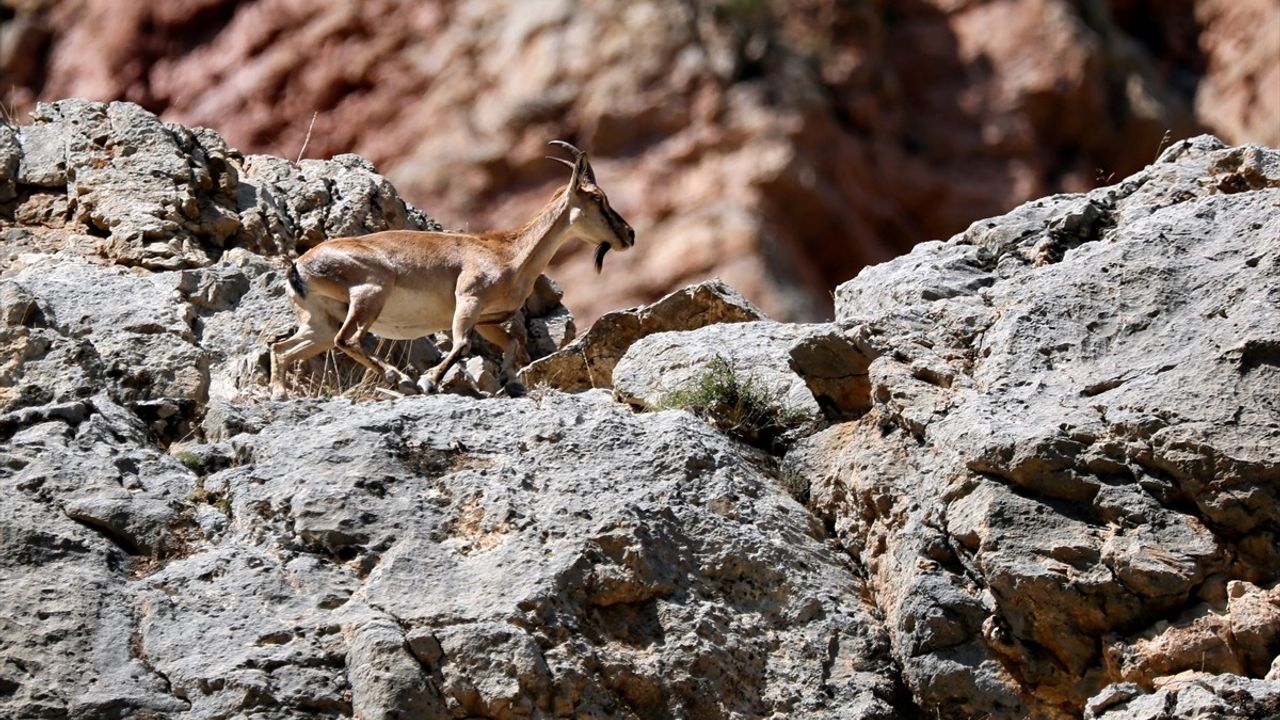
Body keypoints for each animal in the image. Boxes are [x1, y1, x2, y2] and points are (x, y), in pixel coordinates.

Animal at [270, 140, 634, 394]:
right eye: (598, 198)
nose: (629, 234)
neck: (511, 255)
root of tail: (299, 267)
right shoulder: (468, 300)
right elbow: (461, 344)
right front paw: (429, 381)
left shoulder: (486, 319)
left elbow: (510, 344)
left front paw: (513, 383)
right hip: (370, 292)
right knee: (347, 339)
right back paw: (401, 379)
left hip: (320, 321)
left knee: (283, 349)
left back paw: (280, 394)